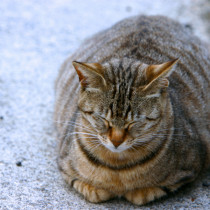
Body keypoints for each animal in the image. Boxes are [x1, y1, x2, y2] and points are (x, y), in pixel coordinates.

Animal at [54, 15, 210, 205]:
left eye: (135, 122)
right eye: (102, 118)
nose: (116, 141)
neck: (117, 167)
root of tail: (147, 16)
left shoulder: (191, 165)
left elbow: (146, 193)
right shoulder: (64, 163)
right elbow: (90, 189)